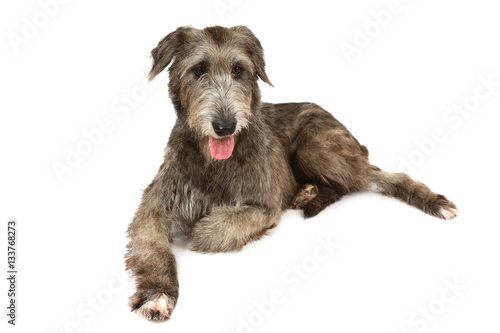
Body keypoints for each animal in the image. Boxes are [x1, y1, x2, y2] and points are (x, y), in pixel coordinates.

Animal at [125, 26, 458, 322]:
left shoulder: (264, 205)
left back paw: (435, 202)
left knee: (379, 178)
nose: (225, 126)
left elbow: (216, 228)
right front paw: (158, 294)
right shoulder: (155, 206)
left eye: (238, 70)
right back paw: (308, 191)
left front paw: (202, 230)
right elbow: (154, 249)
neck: (213, 164)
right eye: (198, 70)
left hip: (318, 148)